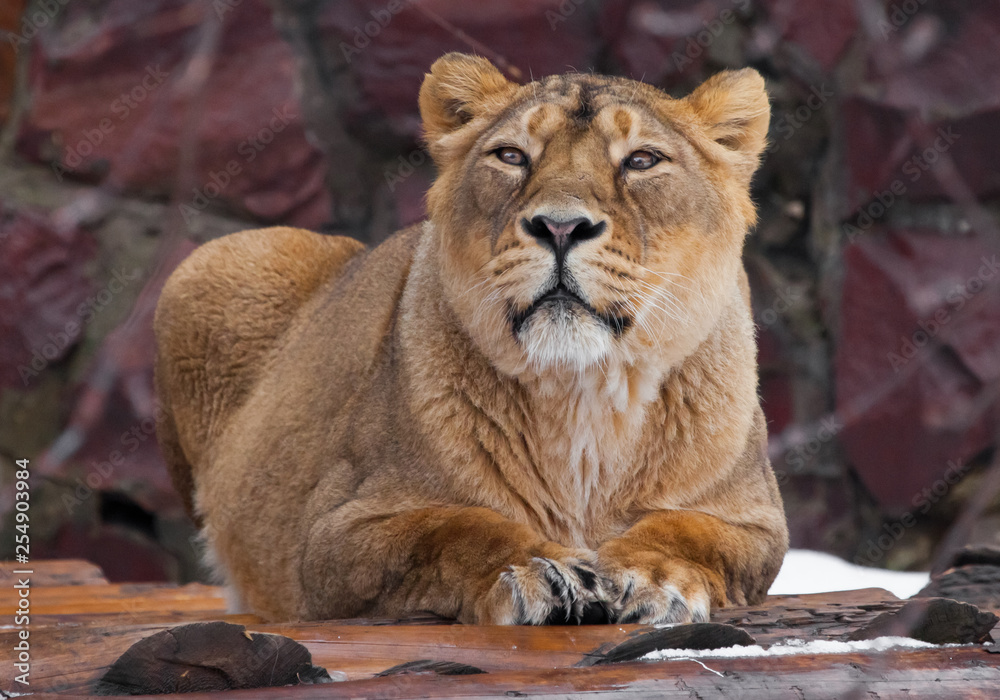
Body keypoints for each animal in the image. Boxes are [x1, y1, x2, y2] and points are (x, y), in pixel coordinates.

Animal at [154, 53, 788, 625]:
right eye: (511, 155)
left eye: (642, 160)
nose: (560, 226)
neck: (580, 390)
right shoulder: (332, 532)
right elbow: (452, 528)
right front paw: (539, 572)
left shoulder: (756, 520)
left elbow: (689, 530)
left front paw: (650, 574)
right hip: (215, 264)